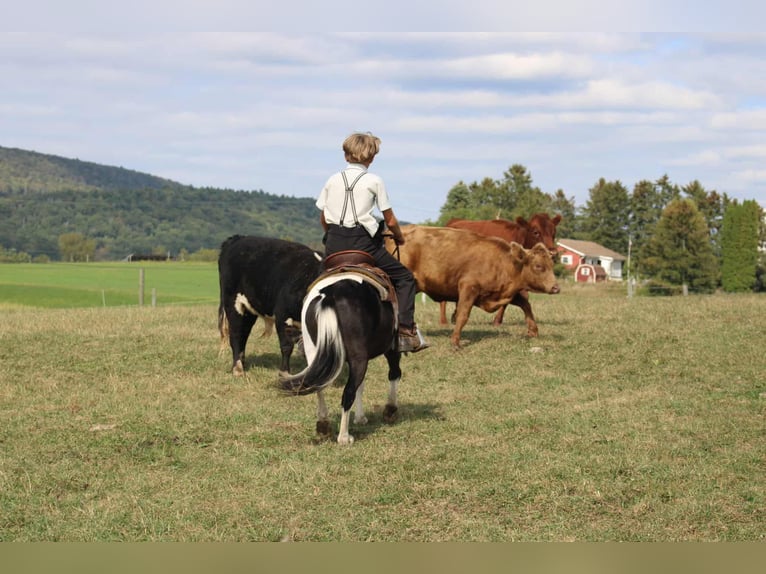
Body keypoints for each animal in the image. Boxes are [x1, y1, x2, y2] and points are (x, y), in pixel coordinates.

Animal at [279, 252, 402, 445]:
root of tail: (330, 295)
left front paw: (360, 417)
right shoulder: (391, 347)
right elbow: (393, 374)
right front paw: (390, 409)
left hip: (315, 352)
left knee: (319, 384)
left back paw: (323, 425)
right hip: (359, 357)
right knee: (349, 391)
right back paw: (344, 437)